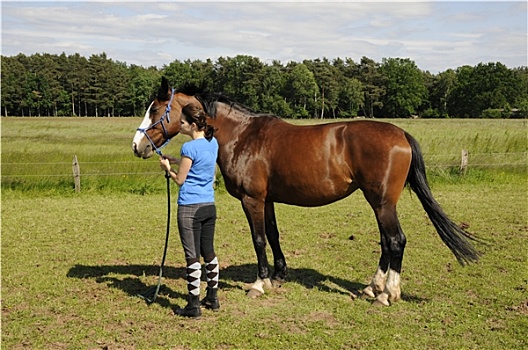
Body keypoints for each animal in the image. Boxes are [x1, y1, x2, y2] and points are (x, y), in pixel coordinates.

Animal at [131, 77, 478, 306]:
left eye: (155, 109)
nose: (137, 146)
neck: (242, 135)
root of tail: (401, 134)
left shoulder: (252, 200)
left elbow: (258, 239)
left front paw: (258, 283)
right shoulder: (267, 200)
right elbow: (272, 235)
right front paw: (277, 276)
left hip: (382, 202)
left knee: (396, 240)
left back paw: (387, 294)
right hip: (379, 203)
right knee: (385, 242)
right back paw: (372, 288)